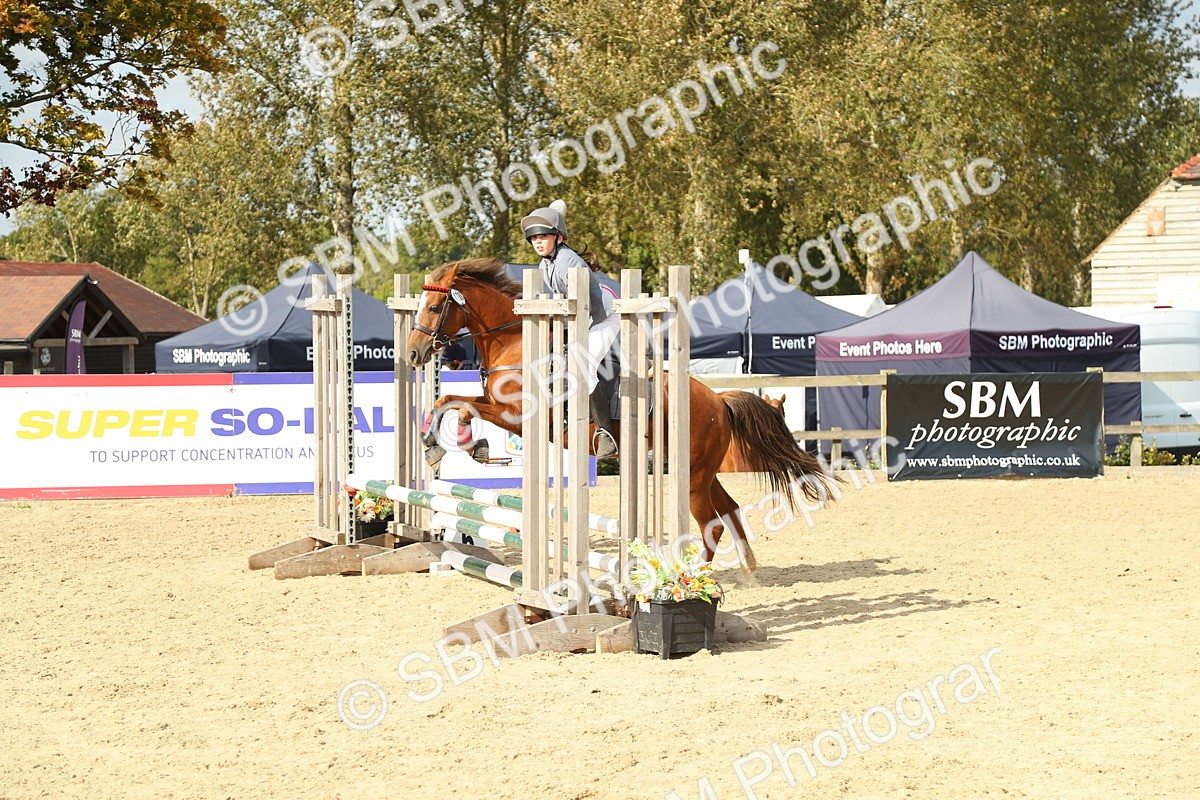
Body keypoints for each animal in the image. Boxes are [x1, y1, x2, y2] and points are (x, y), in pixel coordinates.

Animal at [406, 258, 833, 570]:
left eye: (434, 307)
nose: (412, 354)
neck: (516, 341)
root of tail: (717, 399)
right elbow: (451, 402)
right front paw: (443, 444)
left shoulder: (515, 415)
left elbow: (457, 403)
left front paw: (450, 444)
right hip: (701, 471)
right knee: (727, 510)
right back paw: (748, 570)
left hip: (692, 476)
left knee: (710, 524)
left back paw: (694, 578)